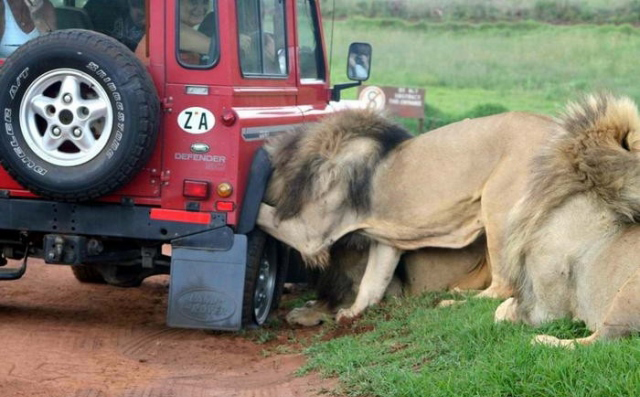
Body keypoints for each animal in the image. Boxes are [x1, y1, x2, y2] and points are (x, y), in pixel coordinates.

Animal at [258, 106, 564, 320]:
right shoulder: (386, 242)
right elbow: (372, 281)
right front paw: (353, 312)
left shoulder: (311, 234)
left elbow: (263, 214)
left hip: (497, 208)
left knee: (504, 288)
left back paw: (452, 301)